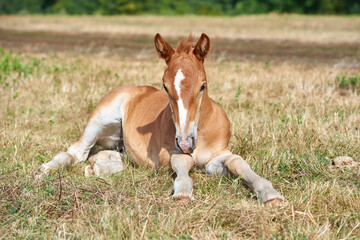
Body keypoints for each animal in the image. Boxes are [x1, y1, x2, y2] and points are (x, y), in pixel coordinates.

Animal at [37, 32, 284, 205]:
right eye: (165, 86)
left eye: (202, 85)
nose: (185, 142)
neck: (201, 130)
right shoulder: (168, 153)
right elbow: (183, 162)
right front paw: (183, 193)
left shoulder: (217, 157)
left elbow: (238, 163)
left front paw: (271, 194)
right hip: (100, 120)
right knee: (76, 152)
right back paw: (45, 170)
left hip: (120, 145)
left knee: (112, 158)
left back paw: (97, 168)